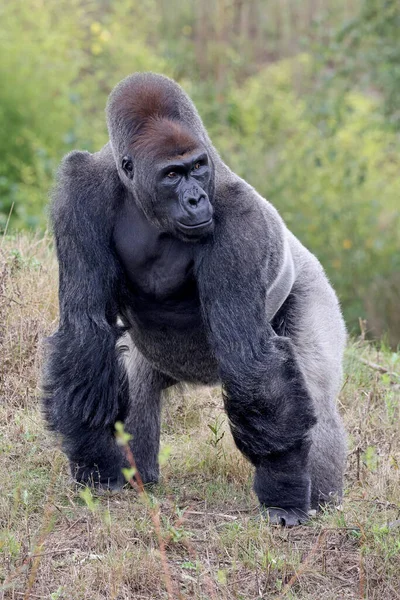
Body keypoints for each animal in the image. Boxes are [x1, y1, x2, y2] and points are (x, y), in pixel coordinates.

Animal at [42, 72, 346, 528]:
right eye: (172, 174)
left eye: (198, 168)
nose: (195, 199)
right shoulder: (80, 193)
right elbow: (86, 328)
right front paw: (96, 464)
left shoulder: (240, 220)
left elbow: (249, 358)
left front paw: (284, 489)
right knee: (133, 378)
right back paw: (137, 476)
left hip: (311, 283)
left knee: (315, 389)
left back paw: (320, 499)